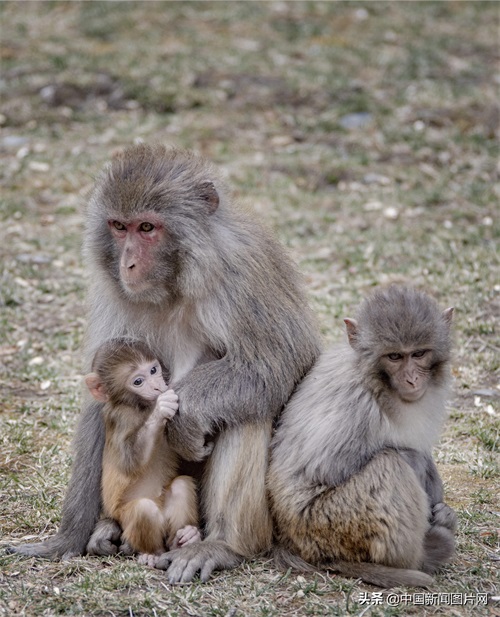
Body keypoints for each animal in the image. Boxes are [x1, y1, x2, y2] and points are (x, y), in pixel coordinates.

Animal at [86, 340, 201, 564]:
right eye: (138, 381)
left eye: (153, 370)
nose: (158, 385)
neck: (139, 406)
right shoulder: (121, 417)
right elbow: (129, 462)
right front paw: (160, 408)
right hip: (125, 520)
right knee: (143, 509)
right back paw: (152, 553)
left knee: (180, 487)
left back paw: (183, 538)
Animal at [270, 286, 458, 584]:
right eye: (395, 357)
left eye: (418, 354)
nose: (412, 380)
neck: (378, 382)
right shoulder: (355, 405)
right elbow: (325, 470)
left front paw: (444, 513)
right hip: (330, 525)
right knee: (390, 465)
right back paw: (421, 557)